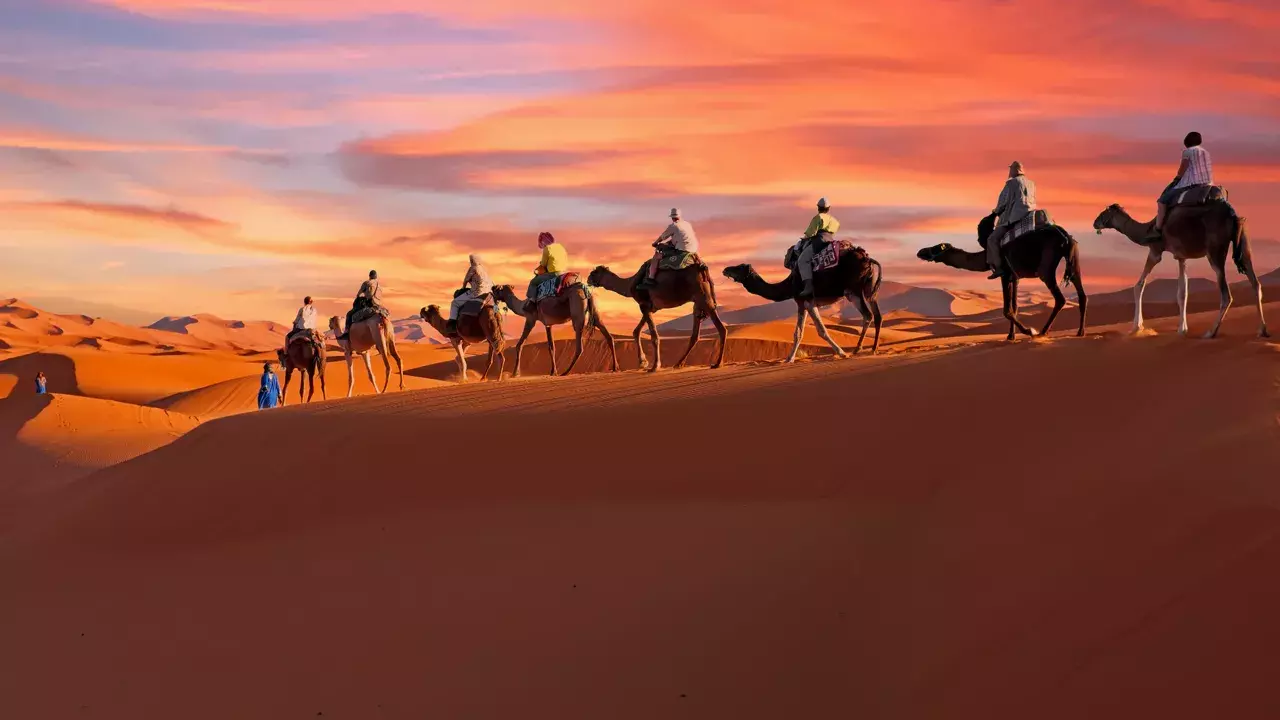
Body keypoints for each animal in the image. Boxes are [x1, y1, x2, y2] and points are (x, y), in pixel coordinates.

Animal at [486, 283, 616, 379]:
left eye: (497, 289)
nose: (491, 288)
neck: (522, 306)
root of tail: (585, 289)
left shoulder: (531, 319)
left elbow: (520, 344)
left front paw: (515, 373)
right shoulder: (548, 324)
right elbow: (551, 347)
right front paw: (553, 371)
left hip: (577, 310)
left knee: (579, 345)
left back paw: (566, 372)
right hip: (594, 310)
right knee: (606, 333)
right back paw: (615, 367)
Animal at [586, 260, 727, 368]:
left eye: (594, 273)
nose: (588, 279)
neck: (631, 284)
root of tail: (702, 268)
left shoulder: (643, 305)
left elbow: (654, 336)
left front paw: (655, 366)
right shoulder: (650, 307)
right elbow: (636, 331)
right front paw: (643, 362)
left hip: (703, 297)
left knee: (721, 329)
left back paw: (717, 363)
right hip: (698, 302)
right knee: (695, 335)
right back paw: (678, 363)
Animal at [727, 242, 885, 361]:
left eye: (739, 267)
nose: (725, 269)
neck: (790, 284)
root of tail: (867, 259)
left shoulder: (807, 300)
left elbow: (821, 331)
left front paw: (841, 352)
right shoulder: (802, 303)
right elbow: (798, 333)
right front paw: (789, 359)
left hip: (853, 291)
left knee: (868, 315)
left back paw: (858, 348)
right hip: (869, 288)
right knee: (877, 315)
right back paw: (873, 348)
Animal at [916, 210, 1085, 338]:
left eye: (936, 248)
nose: (920, 252)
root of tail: (1065, 236)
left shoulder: (1004, 273)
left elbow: (1007, 310)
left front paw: (1028, 331)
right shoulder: (1015, 277)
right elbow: (1015, 308)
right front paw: (1011, 336)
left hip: (1046, 265)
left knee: (1060, 298)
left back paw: (1042, 332)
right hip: (1074, 259)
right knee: (1081, 293)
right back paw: (1080, 332)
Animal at [1095, 202, 1264, 335]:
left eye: (1104, 213)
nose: (1095, 223)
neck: (1147, 229)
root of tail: (1233, 216)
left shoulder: (1155, 251)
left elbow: (1139, 285)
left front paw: (1137, 327)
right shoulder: (1181, 256)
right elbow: (1183, 292)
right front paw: (1182, 329)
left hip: (1215, 251)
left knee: (1226, 295)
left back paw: (1211, 332)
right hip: (1244, 243)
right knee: (1255, 283)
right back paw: (1262, 330)